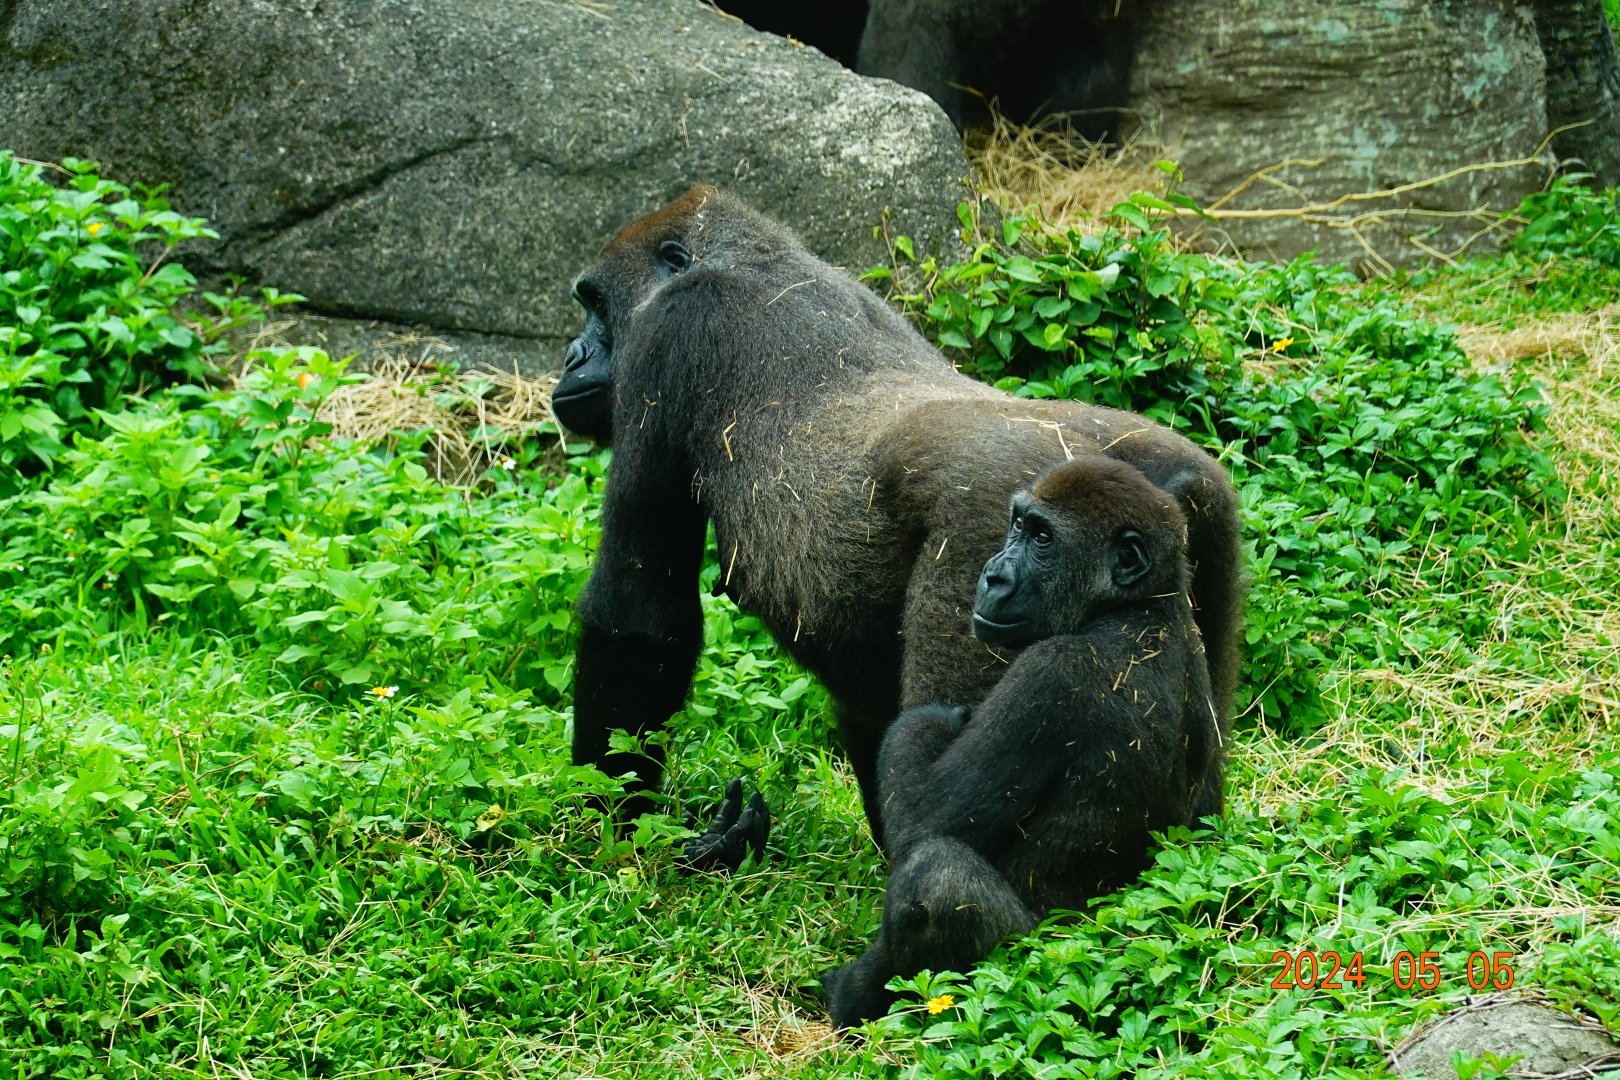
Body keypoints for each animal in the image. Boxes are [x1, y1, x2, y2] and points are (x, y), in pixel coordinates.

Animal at [551, 186, 1240, 867]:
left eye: (596, 305)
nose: (570, 355)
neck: (758, 259)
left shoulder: (667, 335)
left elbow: (638, 615)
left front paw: (609, 829)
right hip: (1196, 509)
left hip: (994, 541)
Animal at [821, 454, 1219, 1027]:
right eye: (1017, 525)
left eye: (1044, 538)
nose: (993, 574)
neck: (1137, 607)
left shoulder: (1049, 673)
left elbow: (922, 822)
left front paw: (931, 720)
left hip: (1035, 963)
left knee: (937, 874)